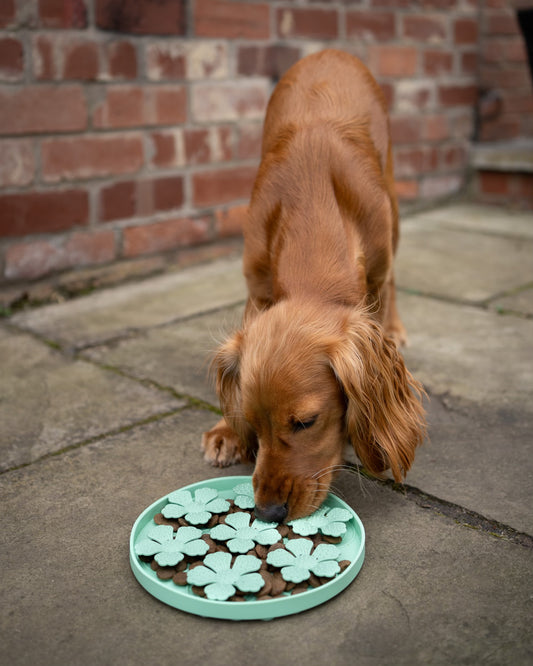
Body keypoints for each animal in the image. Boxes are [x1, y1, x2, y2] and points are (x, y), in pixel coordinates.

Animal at [200, 49, 424, 520]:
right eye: (253, 419)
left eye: (305, 422)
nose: (268, 512)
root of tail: (330, 52)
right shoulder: (257, 288)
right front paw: (227, 430)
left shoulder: (372, 286)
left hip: (392, 210)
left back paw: (397, 328)